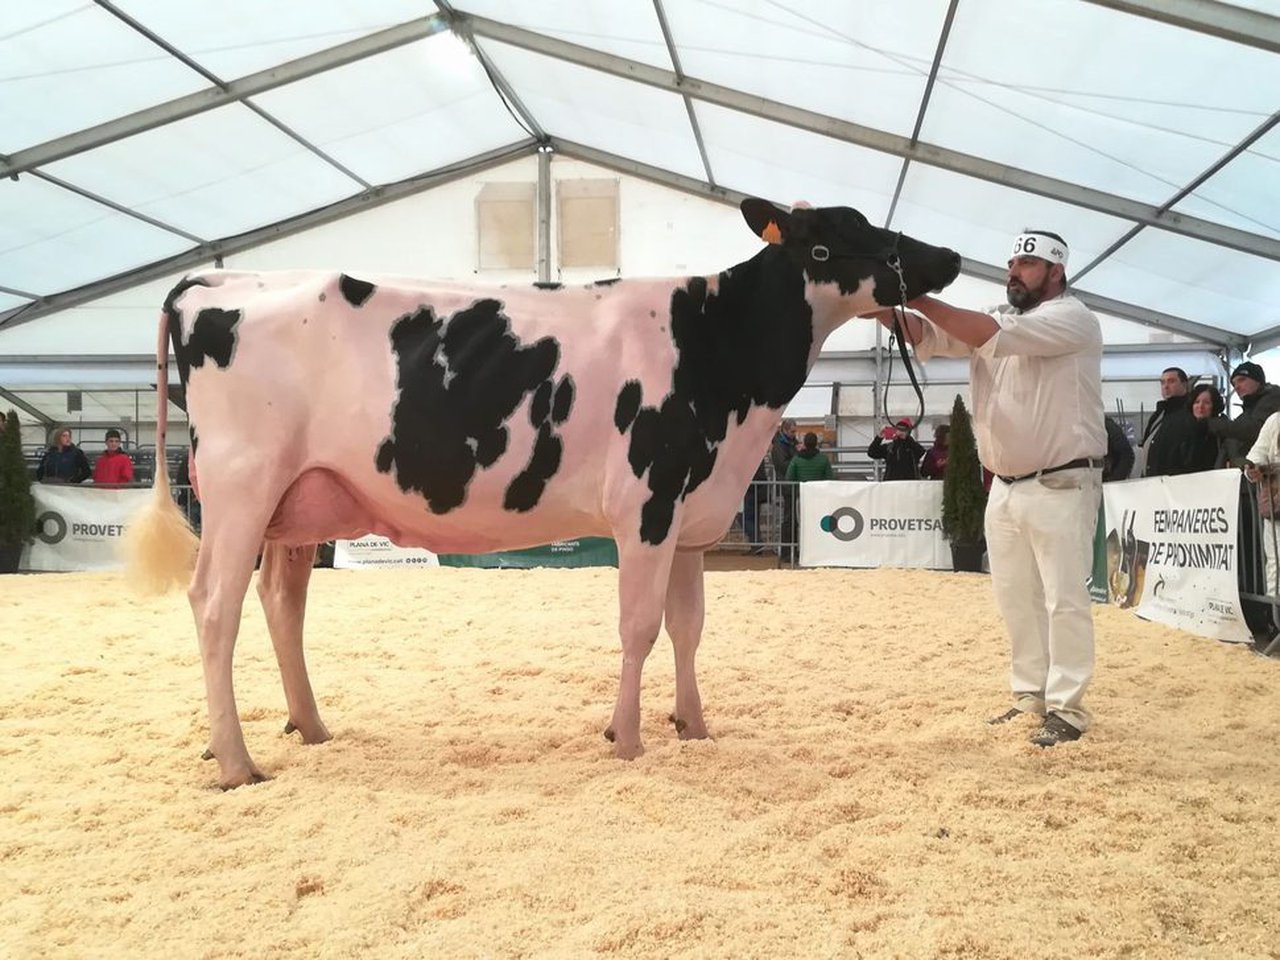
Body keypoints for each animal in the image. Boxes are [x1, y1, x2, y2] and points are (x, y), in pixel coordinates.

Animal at [126, 198, 960, 789]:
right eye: (830, 241)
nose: (947, 256)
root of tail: (220, 279)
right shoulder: (647, 505)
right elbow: (640, 628)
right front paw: (627, 741)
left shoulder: (692, 515)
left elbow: (689, 629)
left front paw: (694, 727)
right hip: (241, 485)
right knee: (216, 604)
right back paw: (237, 762)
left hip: (299, 502)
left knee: (281, 603)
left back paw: (310, 726)